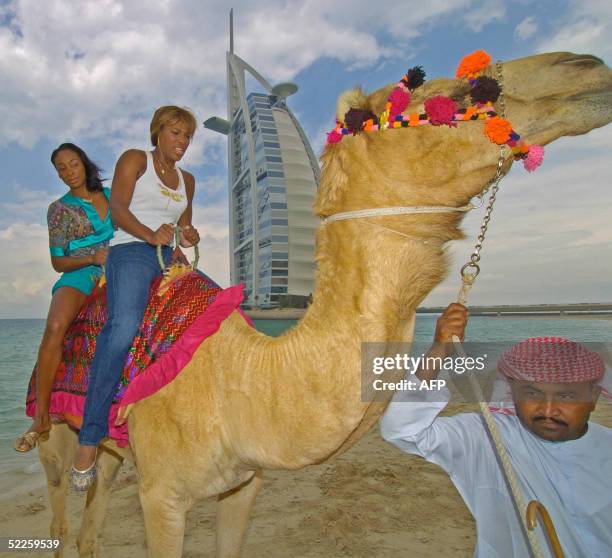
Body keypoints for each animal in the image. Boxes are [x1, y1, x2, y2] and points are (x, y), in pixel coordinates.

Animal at [34, 50, 612, 556]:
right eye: (449, 95)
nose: (586, 66)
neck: (240, 378)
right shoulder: (161, 496)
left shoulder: (243, 484)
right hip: (57, 434)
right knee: (61, 510)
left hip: (114, 453)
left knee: (90, 524)